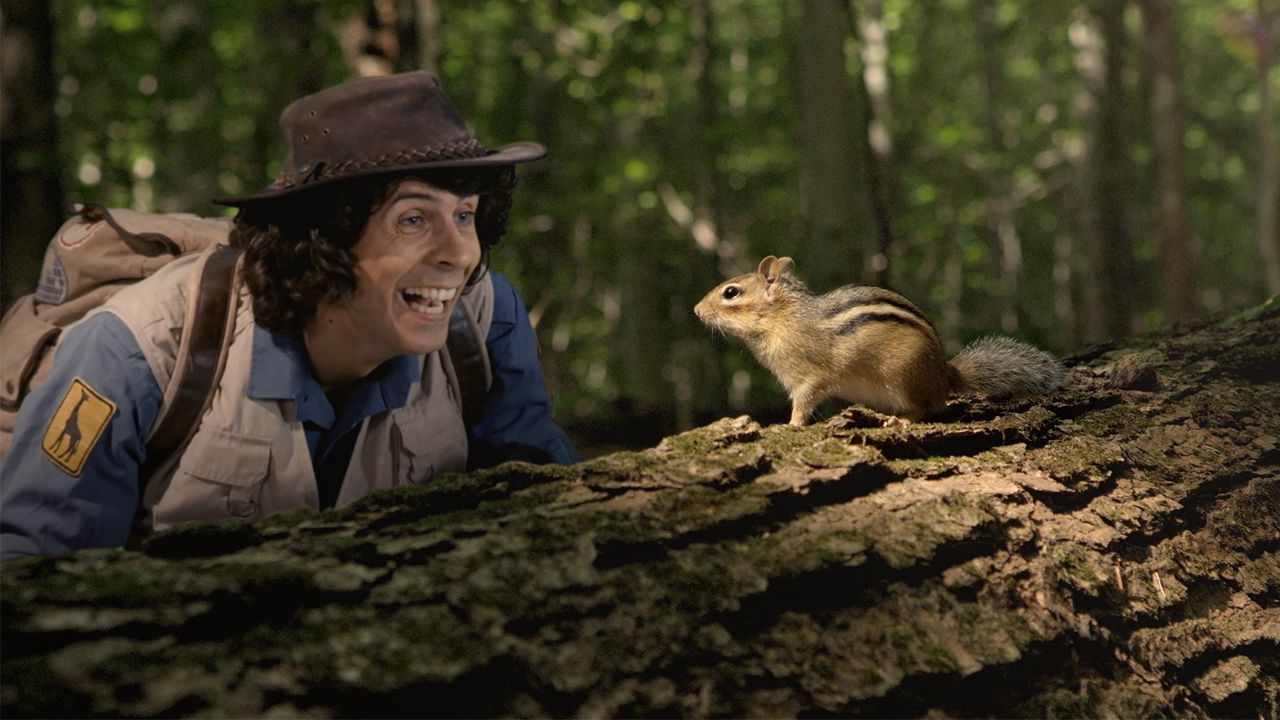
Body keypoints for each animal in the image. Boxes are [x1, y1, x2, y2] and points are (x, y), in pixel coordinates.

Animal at [694, 255, 1065, 426]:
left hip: (904, 376)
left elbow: (803, 402)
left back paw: (901, 419)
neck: (782, 319)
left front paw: (788, 426)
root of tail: (945, 376)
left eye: (730, 292)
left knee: (928, 409)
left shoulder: (809, 375)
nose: (696, 310)